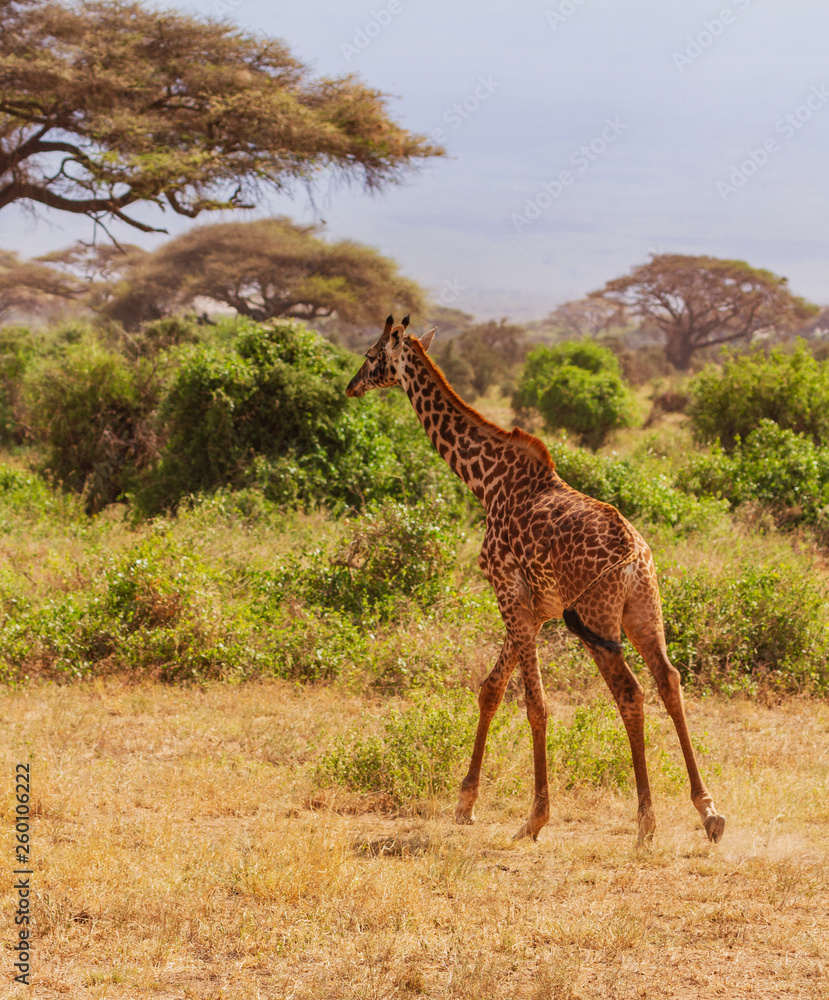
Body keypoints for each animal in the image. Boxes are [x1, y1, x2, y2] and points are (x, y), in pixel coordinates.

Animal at [346, 315, 725, 845]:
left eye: (370, 354)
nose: (351, 386)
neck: (484, 481)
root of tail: (634, 557)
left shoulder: (509, 592)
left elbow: (534, 703)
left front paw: (535, 817)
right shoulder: (536, 608)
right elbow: (491, 689)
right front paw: (465, 804)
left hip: (597, 620)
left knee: (630, 693)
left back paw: (646, 823)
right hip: (645, 611)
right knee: (669, 681)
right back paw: (708, 811)